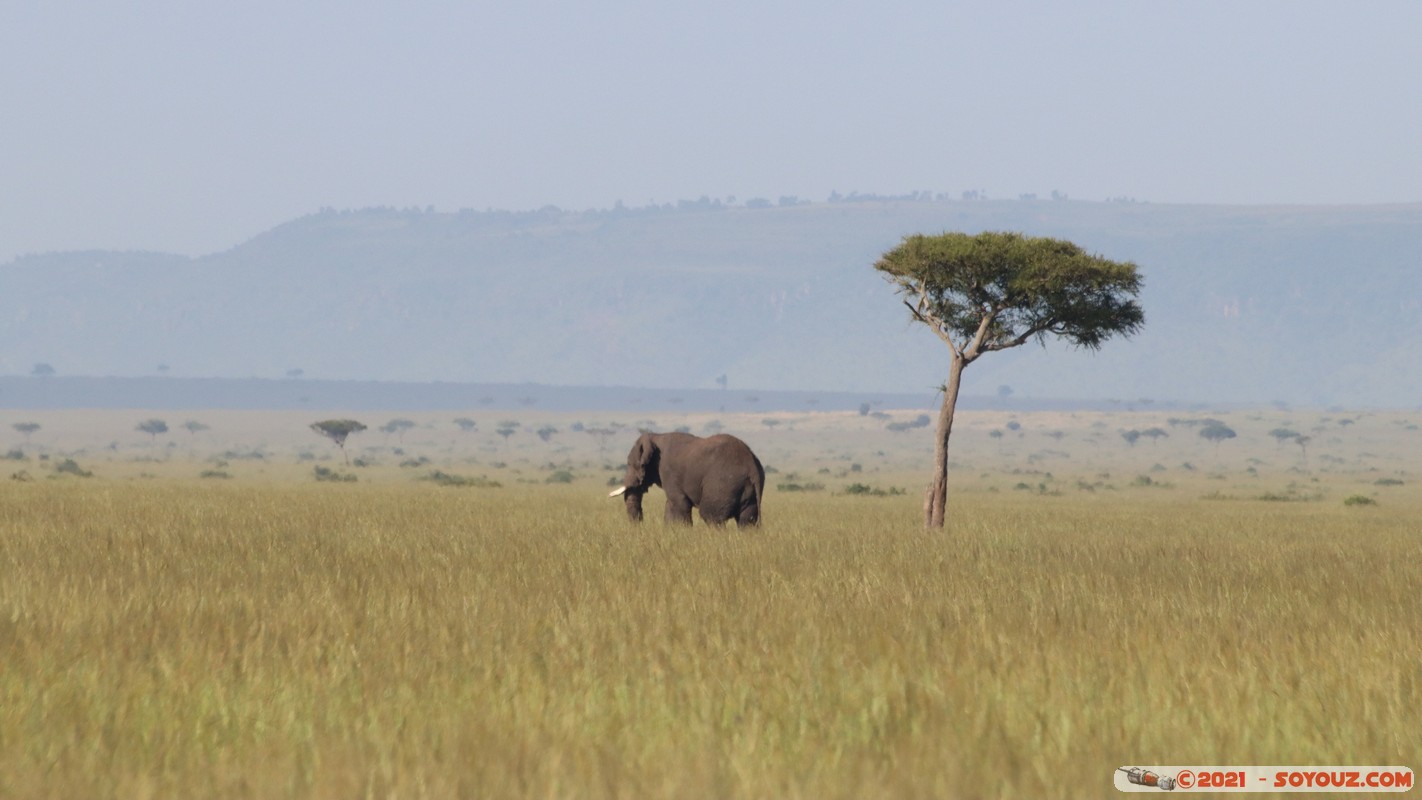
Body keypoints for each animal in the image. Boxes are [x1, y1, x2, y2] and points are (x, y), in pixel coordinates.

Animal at [608, 431, 764, 526]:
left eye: (630, 464)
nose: (640, 525)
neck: (656, 437)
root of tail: (752, 466)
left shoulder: (668, 471)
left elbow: (678, 503)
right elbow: (670, 505)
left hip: (724, 484)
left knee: (711, 516)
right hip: (745, 488)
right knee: (747, 521)